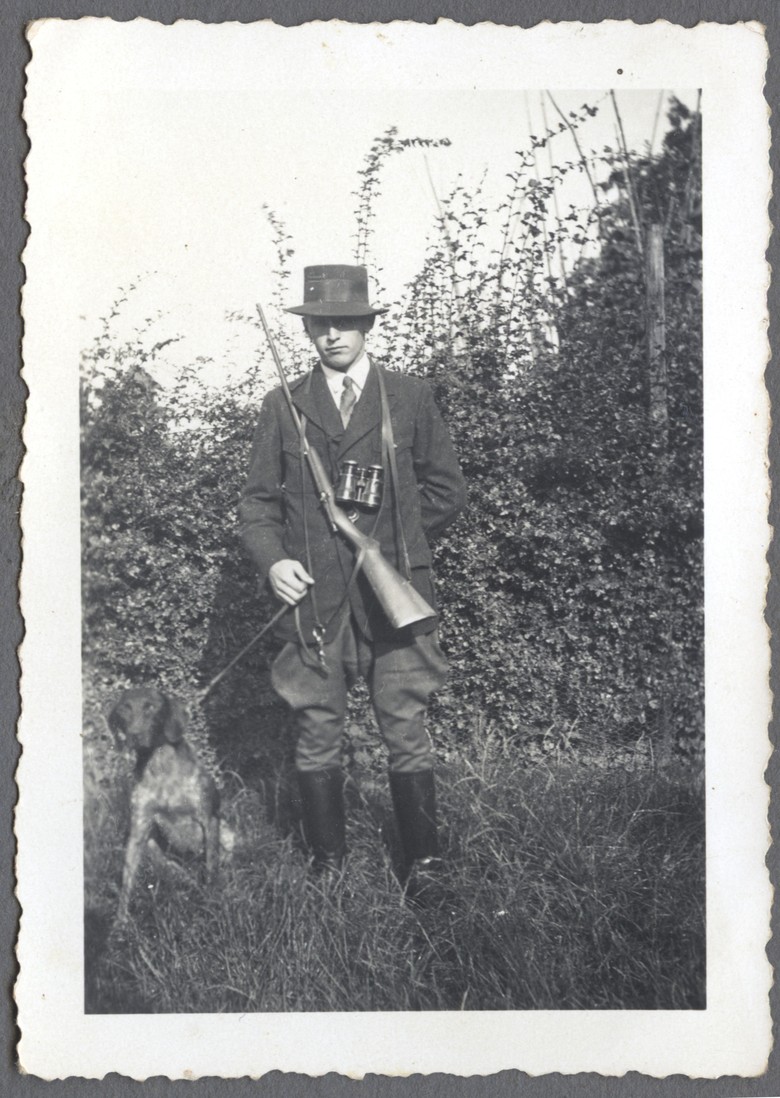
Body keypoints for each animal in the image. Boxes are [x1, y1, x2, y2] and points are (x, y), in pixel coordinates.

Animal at [107, 685, 224, 926]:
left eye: (151, 707)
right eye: (124, 708)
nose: (134, 735)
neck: (160, 767)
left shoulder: (209, 819)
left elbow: (211, 867)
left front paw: (212, 903)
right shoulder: (139, 827)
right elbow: (126, 880)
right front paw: (121, 921)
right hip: (154, 848)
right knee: (179, 876)